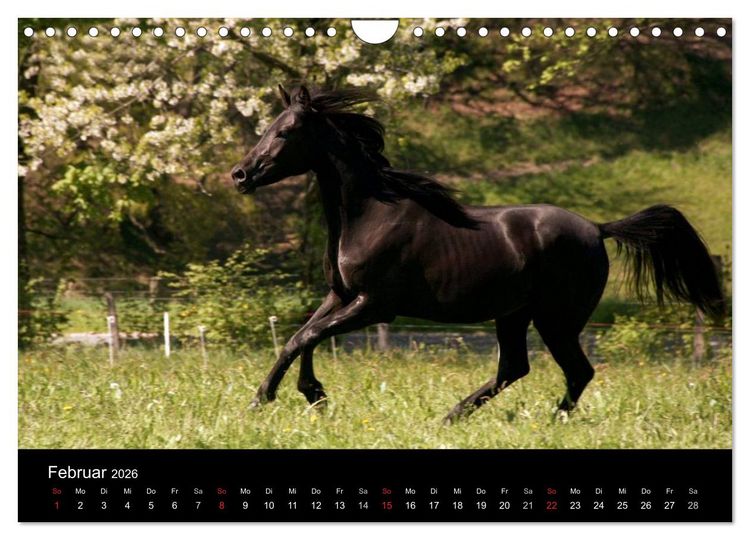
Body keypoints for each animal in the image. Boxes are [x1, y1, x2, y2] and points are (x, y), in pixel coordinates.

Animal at [230, 85, 724, 424]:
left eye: (285, 132)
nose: (240, 175)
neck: (370, 213)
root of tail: (598, 229)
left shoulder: (375, 305)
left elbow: (307, 336)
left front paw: (292, 396)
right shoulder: (341, 295)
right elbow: (302, 336)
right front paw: (289, 395)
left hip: (556, 319)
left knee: (577, 371)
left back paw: (549, 421)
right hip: (514, 314)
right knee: (514, 368)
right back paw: (452, 417)